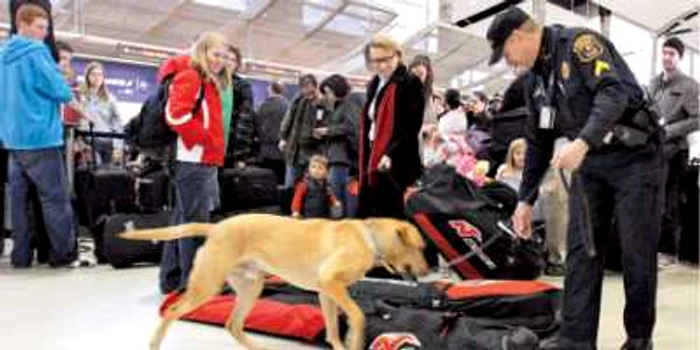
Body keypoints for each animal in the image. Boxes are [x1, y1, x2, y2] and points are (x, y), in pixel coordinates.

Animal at [119, 213, 426, 350]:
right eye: (421, 248)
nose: (425, 271)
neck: (369, 237)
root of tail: (216, 227)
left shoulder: (326, 292)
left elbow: (332, 330)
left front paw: (345, 340)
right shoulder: (330, 283)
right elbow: (359, 315)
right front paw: (356, 337)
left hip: (250, 288)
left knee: (233, 325)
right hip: (206, 286)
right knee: (171, 312)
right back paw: (155, 343)